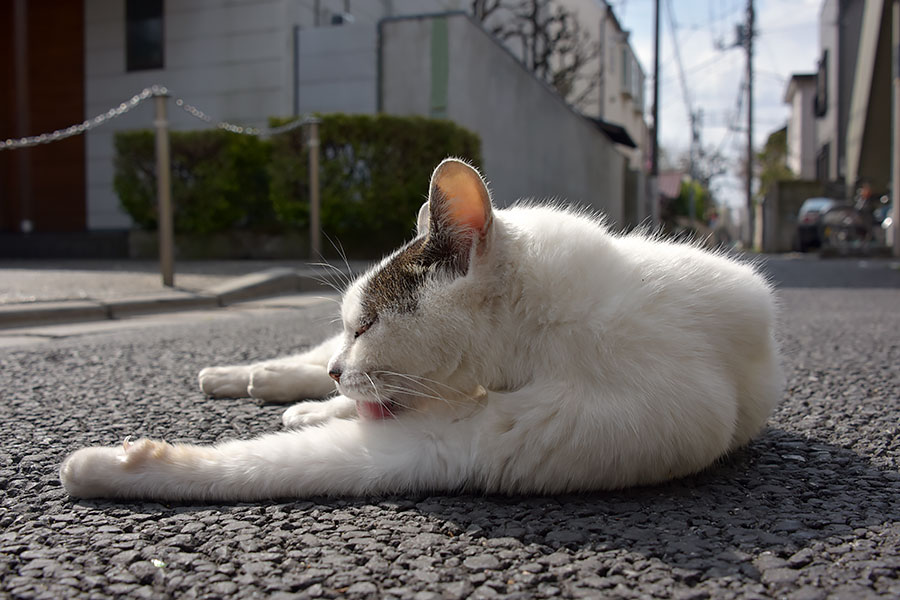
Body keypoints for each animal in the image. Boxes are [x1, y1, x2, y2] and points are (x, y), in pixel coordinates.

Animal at [59, 157, 784, 500]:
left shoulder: (478, 443)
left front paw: (107, 468)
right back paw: (246, 376)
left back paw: (297, 400)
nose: (340, 367)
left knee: (326, 408)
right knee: (299, 366)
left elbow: (263, 466)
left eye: (367, 327)